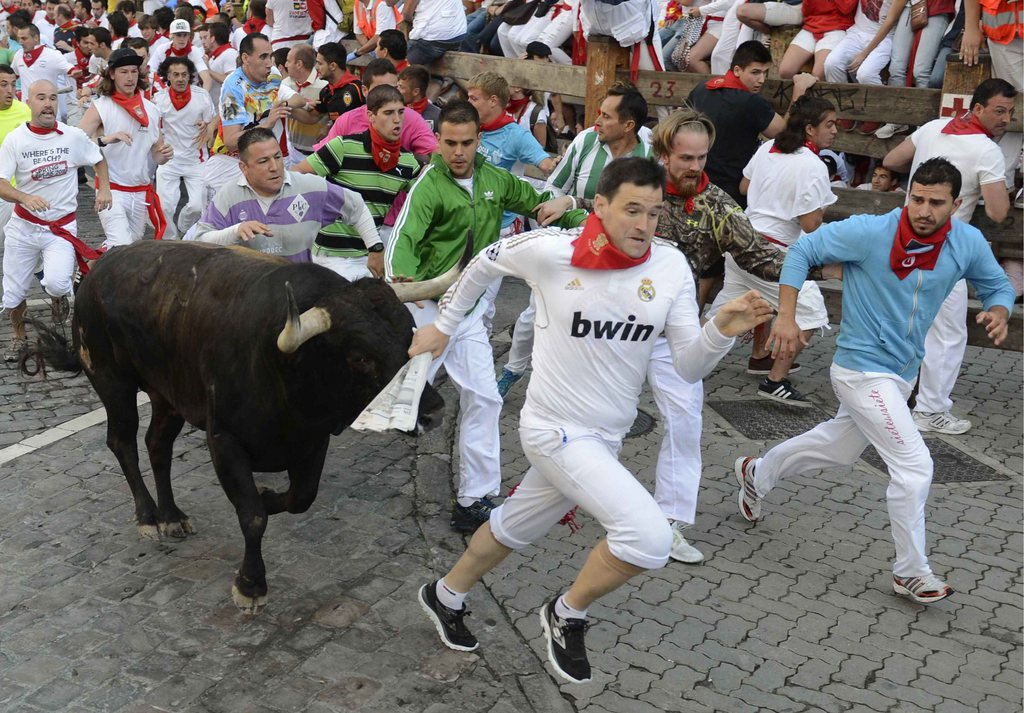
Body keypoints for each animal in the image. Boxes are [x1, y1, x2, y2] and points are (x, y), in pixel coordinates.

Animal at [30, 243, 448, 614]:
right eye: (360, 357)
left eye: (412, 334)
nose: (432, 412)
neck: (281, 366)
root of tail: (99, 269)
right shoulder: (224, 440)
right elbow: (252, 516)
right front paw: (250, 585)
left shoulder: (312, 441)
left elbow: (299, 498)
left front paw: (266, 493)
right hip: (111, 380)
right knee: (123, 443)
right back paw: (149, 517)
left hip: (169, 393)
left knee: (157, 445)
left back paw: (171, 515)